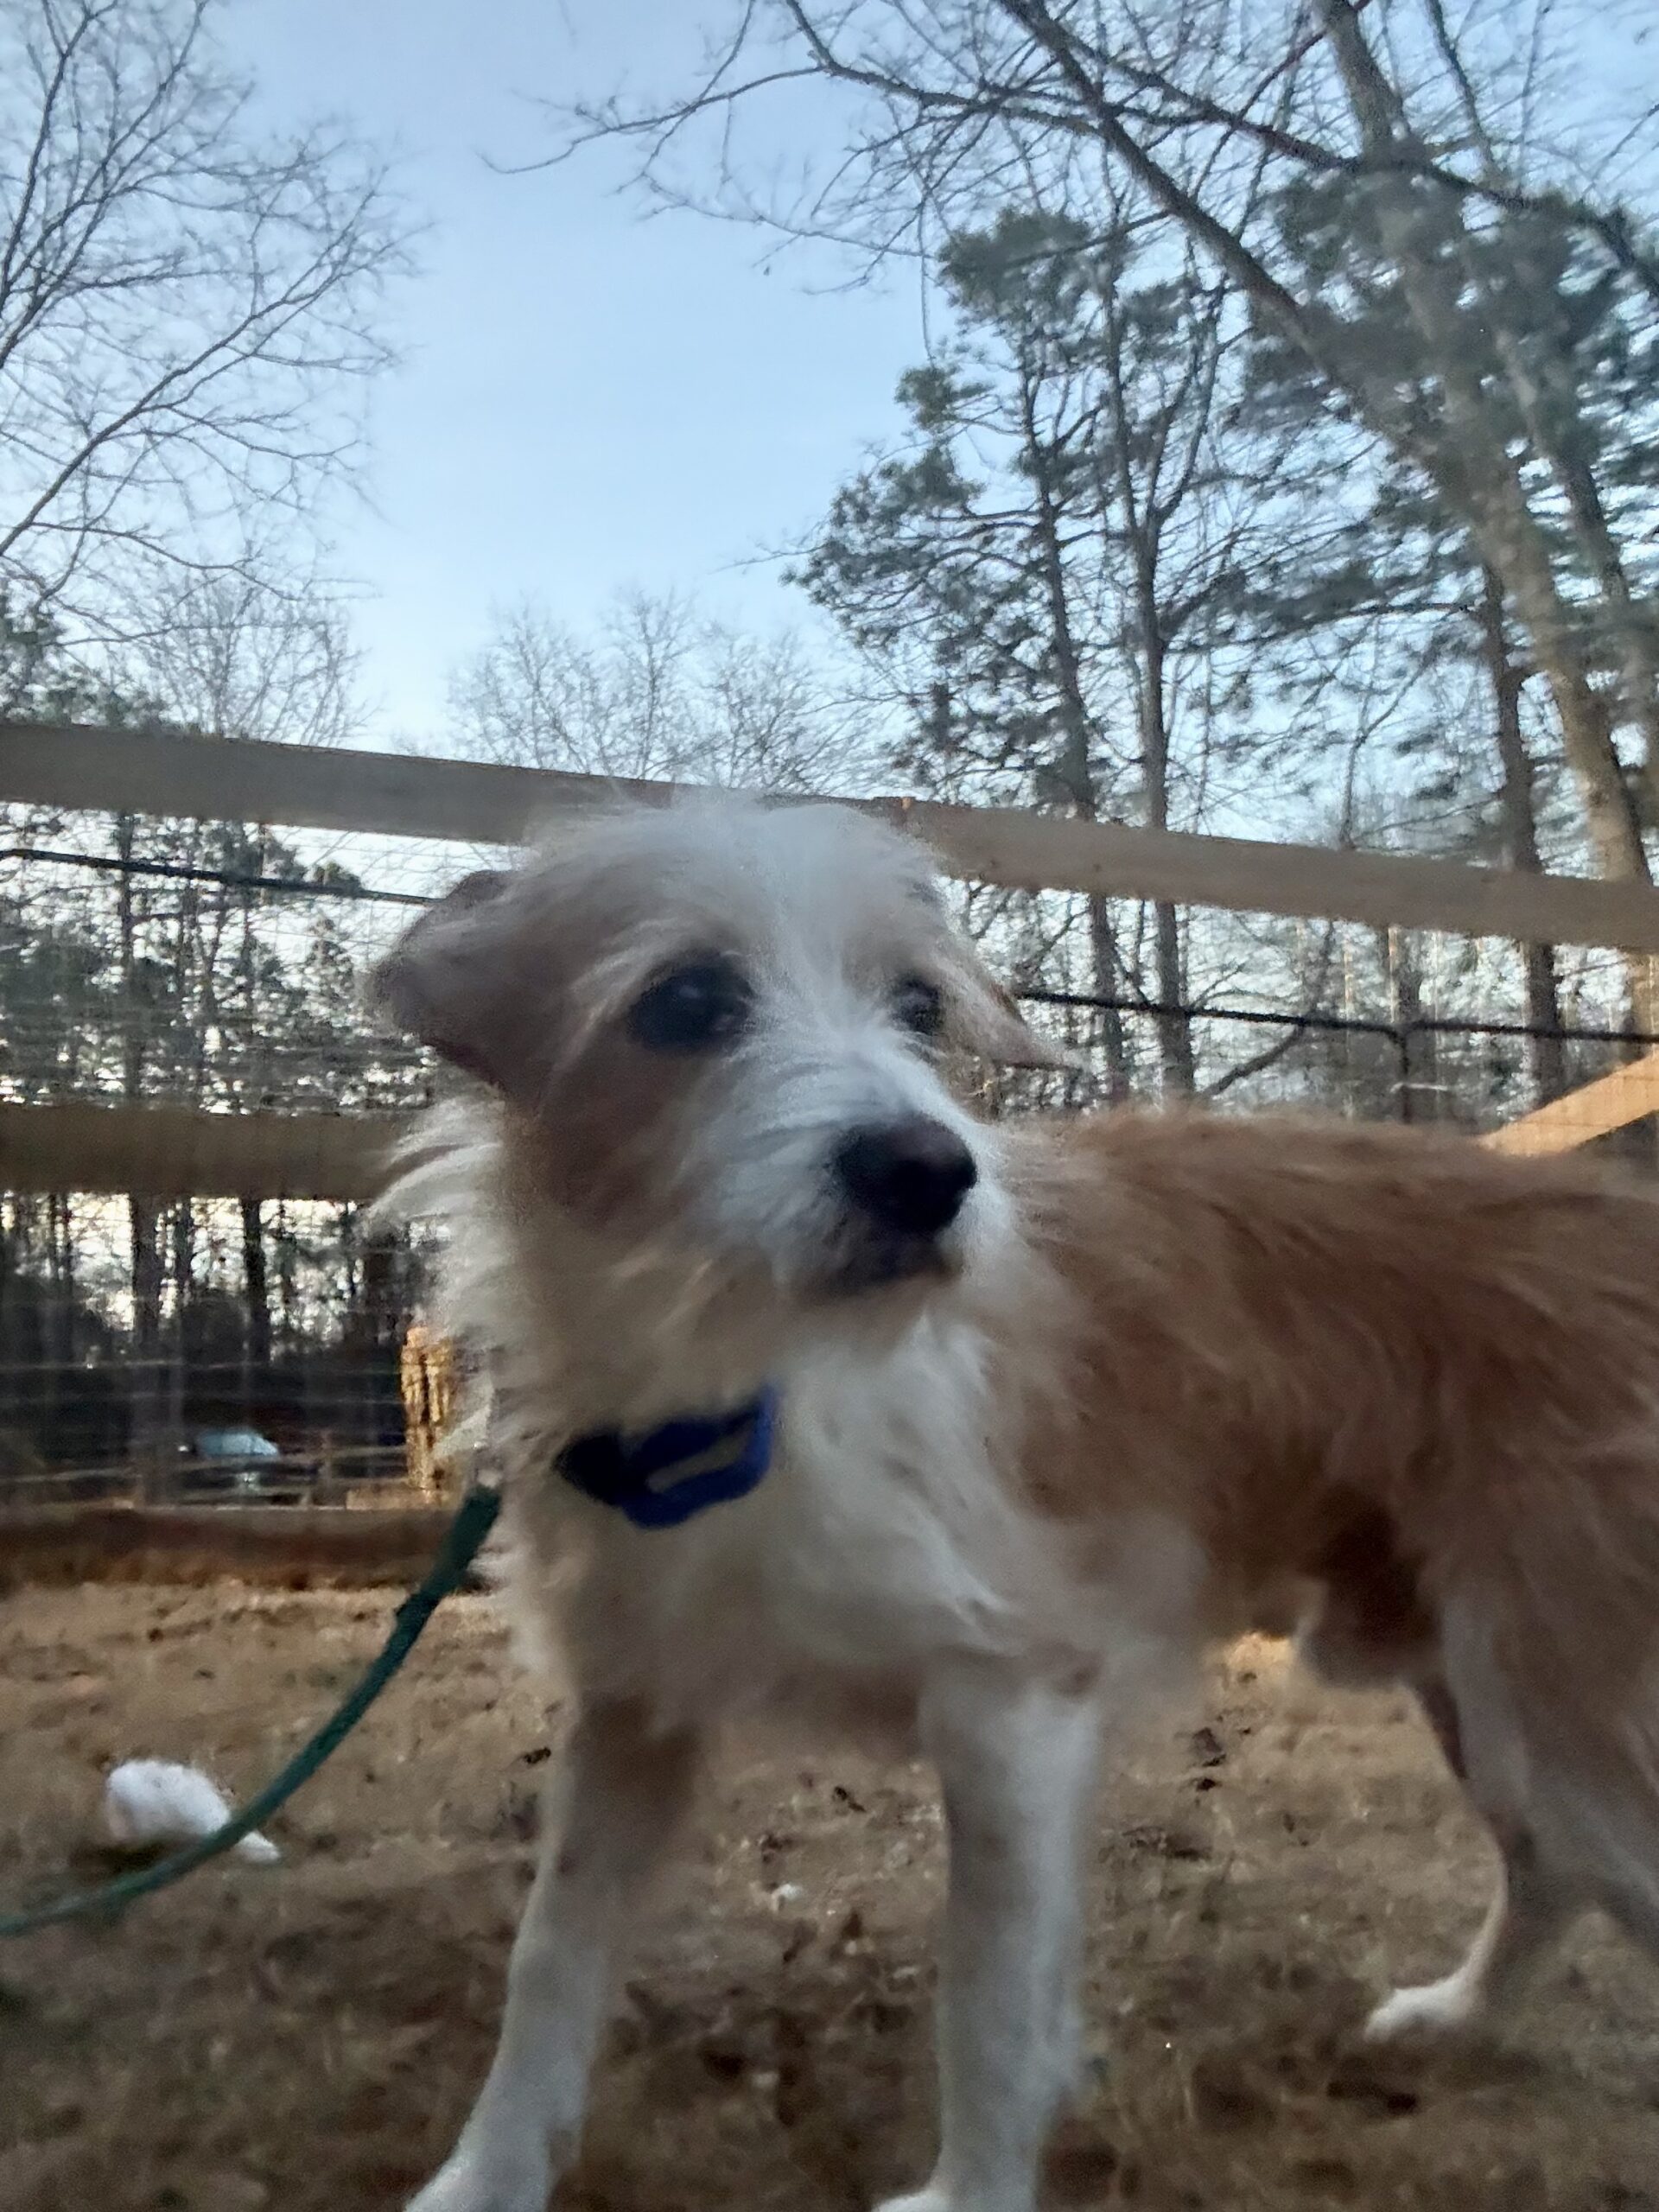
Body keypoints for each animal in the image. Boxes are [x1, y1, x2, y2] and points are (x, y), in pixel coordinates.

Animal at [374, 794, 1659, 2212]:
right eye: (688, 1000)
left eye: (920, 1006)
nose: (927, 1172)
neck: (756, 1372)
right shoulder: (632, 1708)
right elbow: (549, 1961)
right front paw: (485, 2176)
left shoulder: (1013, 1710)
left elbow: (985, 2004)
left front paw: (974, 2188)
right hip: (1489, 1699)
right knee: (1546, 1868)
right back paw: (1461, 2019)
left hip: (1568, 1714)